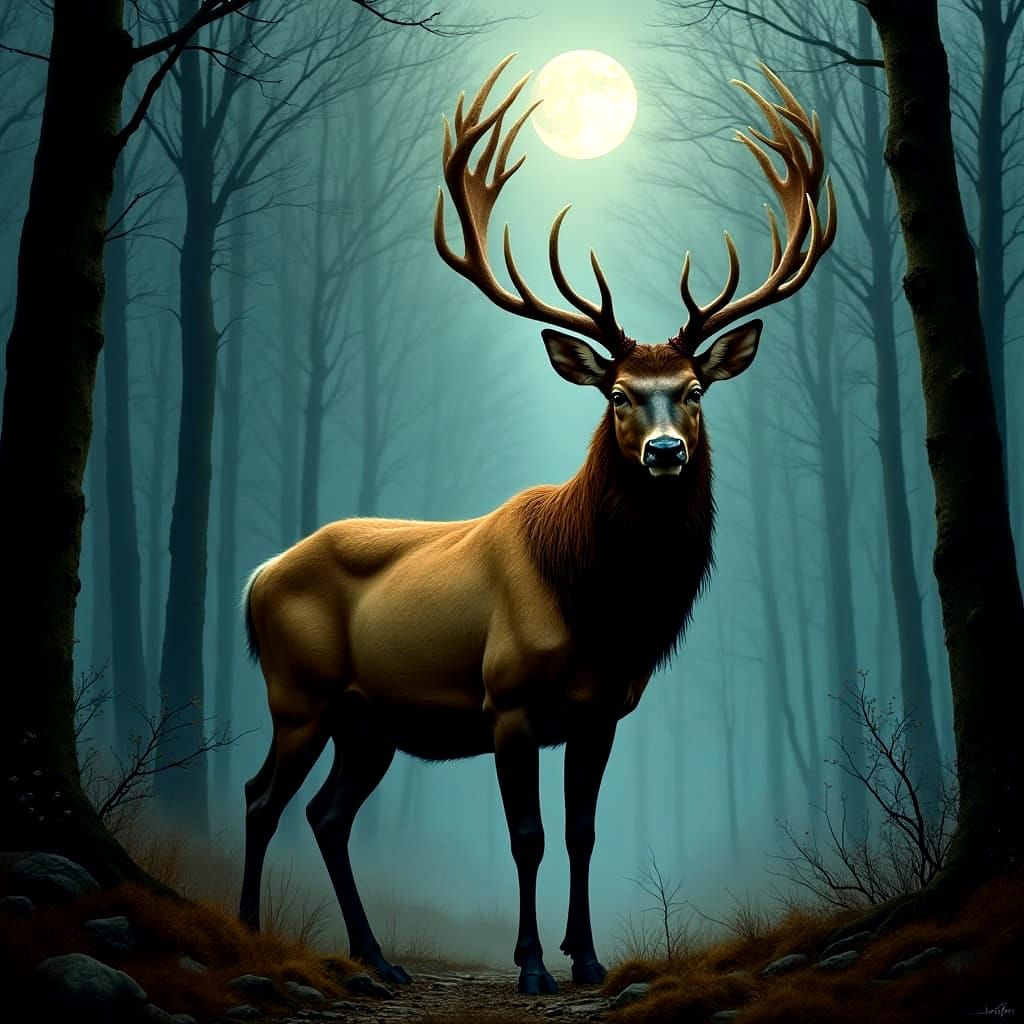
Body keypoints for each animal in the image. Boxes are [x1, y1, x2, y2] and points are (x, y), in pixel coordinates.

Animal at [238, 54, 836, 994]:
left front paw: (585, 957)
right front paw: (528, 965)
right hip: (298, 692)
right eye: (619, 394)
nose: (665, 451)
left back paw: (378, 957)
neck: (599, 610)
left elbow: (584, 833)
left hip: (369, 722)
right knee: (262, 796)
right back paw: (255, 931)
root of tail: (257, 576)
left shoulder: (603, 710)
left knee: (328, 814)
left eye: (694, 391)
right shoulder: (508, 698)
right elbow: (528, 837)